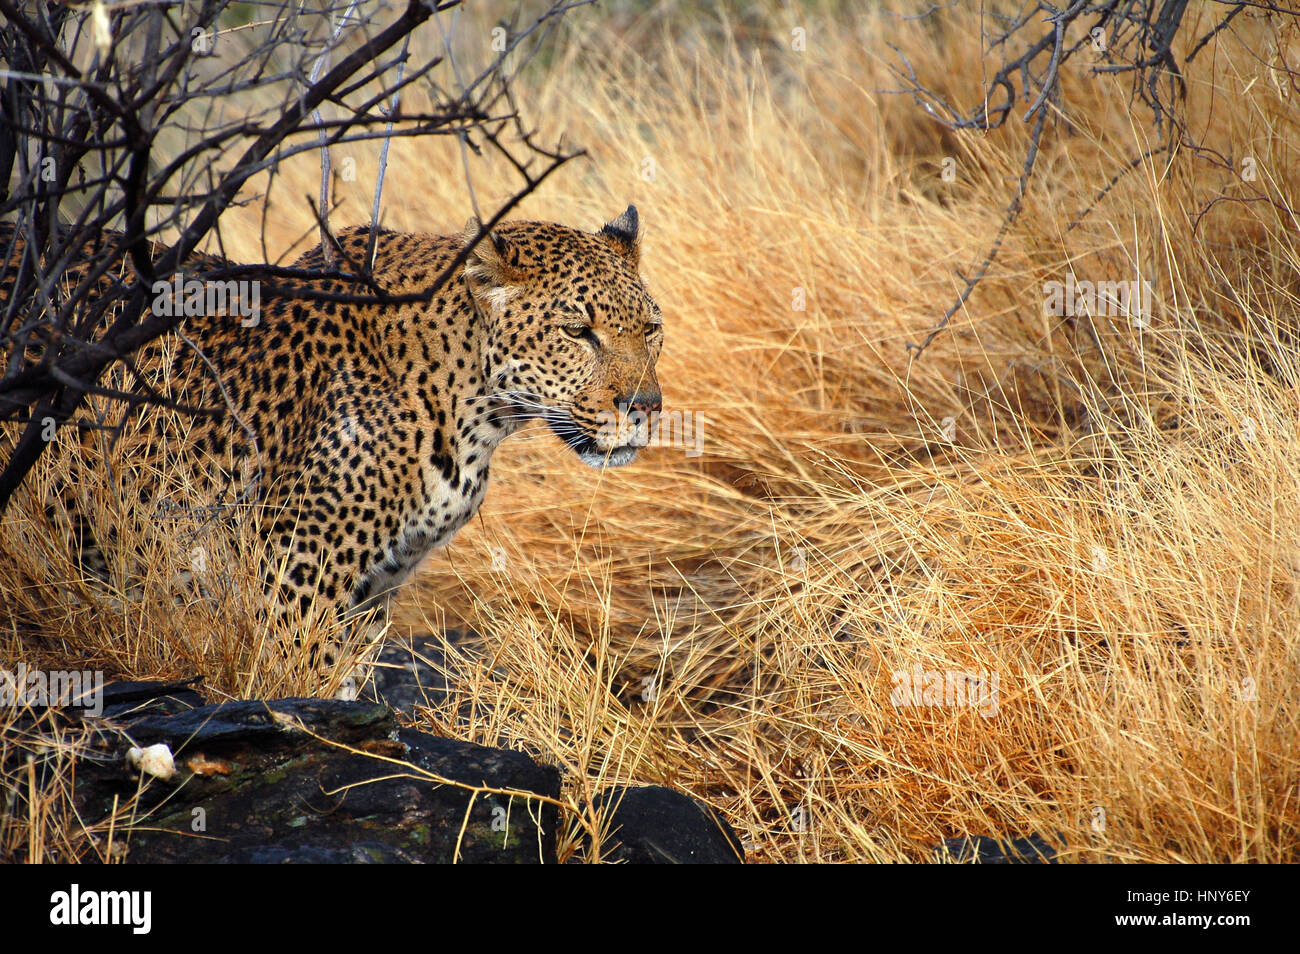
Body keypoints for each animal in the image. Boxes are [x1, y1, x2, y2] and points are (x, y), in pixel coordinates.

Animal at [2, 209, 660, 686]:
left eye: (651, 328)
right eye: (577, 332)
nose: (647, 406)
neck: (476, 413)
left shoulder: (375, 587)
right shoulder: (296, 574)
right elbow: (304, 687)